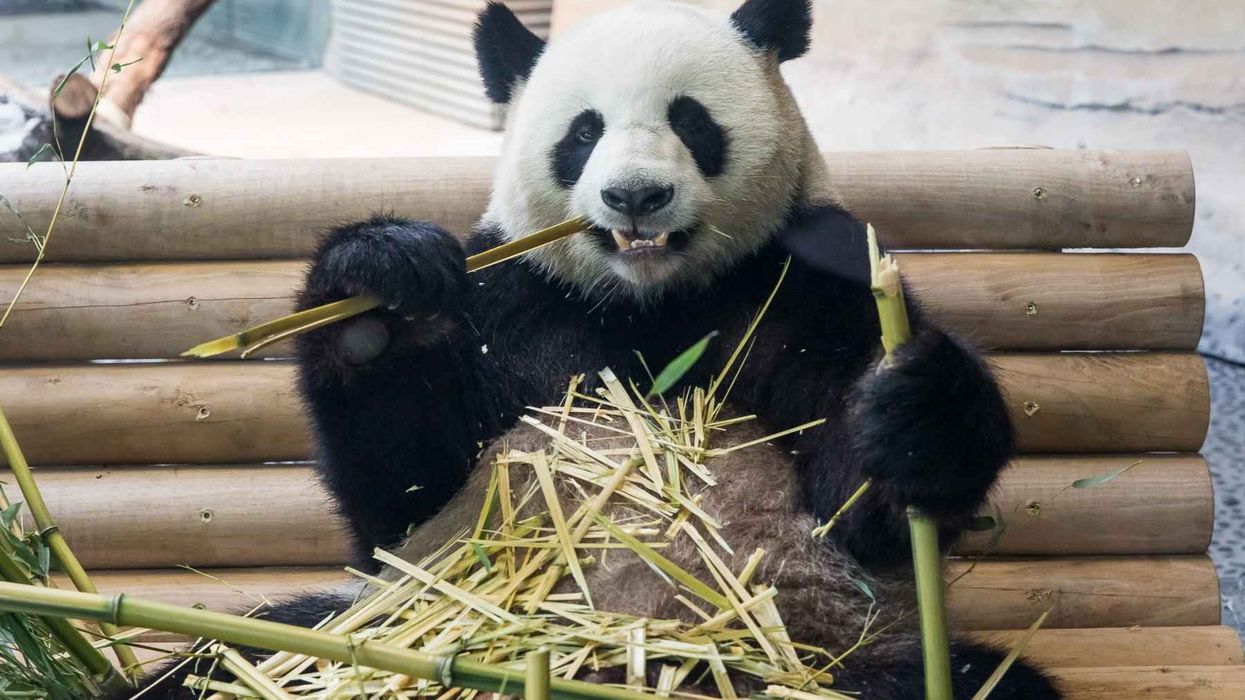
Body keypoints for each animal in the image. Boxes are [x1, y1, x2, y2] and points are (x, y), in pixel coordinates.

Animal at [124, 1, 1060, 698]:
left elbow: (859, 509)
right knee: (229, 659)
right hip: (350, 636)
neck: (648, 302)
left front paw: (915, 409)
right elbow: (403, 505)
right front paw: (379, 299)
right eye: (581, 132)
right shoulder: (510, 301)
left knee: (988, 684)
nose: (634, 195)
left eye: (691, 120)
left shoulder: (808, 280)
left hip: (838, 657)